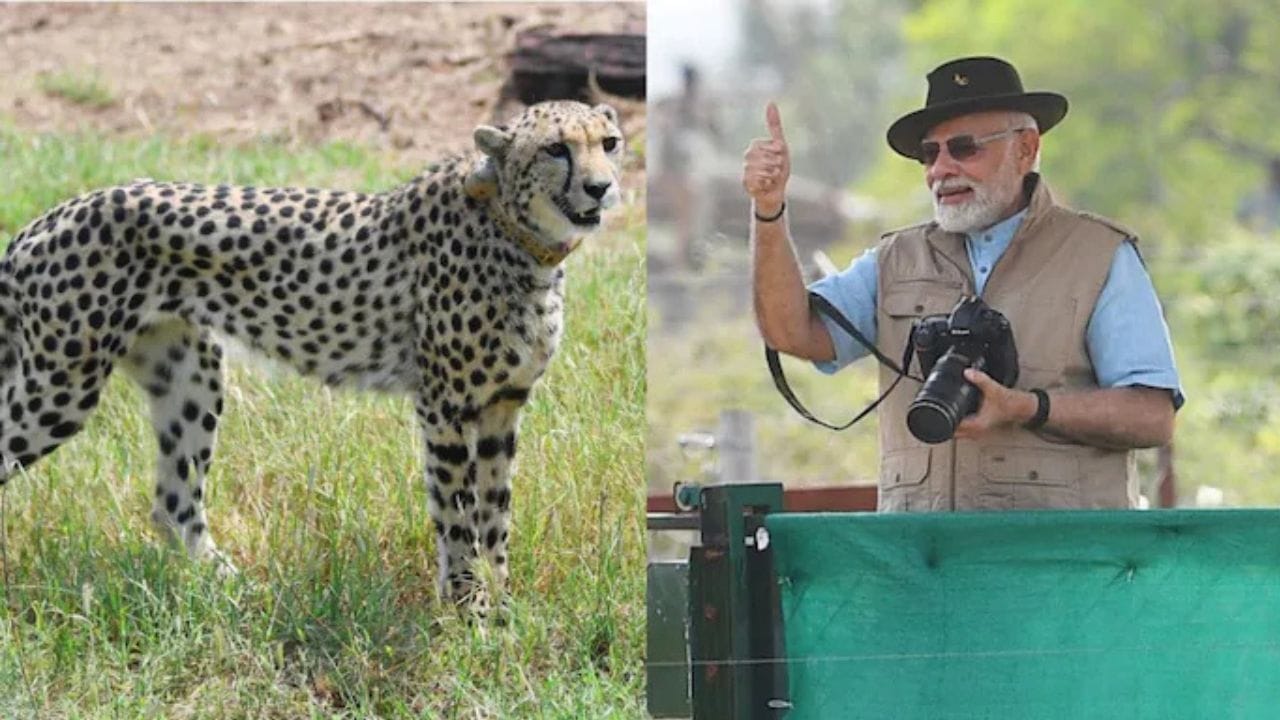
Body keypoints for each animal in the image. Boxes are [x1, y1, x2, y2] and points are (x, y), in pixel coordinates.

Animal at [0, 100, 624, 609]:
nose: (601, 188)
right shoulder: (444, 405)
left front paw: (503, 609)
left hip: (190, 374)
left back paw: (233, 591)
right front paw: (469, 611)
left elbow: (496, 515)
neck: (519, 235)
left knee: (173, 503)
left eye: (609, 143)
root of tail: (45, 219)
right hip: (60, 385)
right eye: (556, 149)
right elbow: (457, 517)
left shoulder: (502, 405)